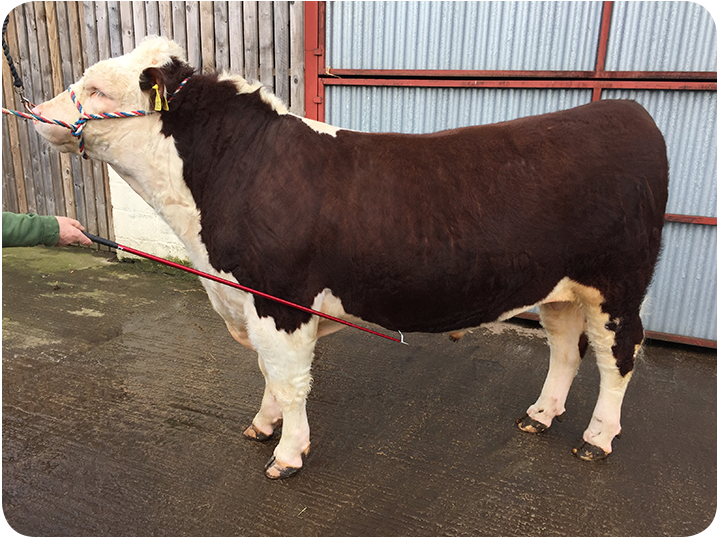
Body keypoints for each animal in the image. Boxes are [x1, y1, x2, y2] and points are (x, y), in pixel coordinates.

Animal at [32, 37, 668, 479]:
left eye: (98, 89)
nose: (36, 111)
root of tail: (628, 111)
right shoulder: (252, 301)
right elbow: (270, 373)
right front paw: (263, 425)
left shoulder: (280, 299)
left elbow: (291, 381)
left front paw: (288, 454)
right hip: (559, 286)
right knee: (564, 348)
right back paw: (540, 415)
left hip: (618, 284)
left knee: (618, 358)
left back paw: (597, 439)